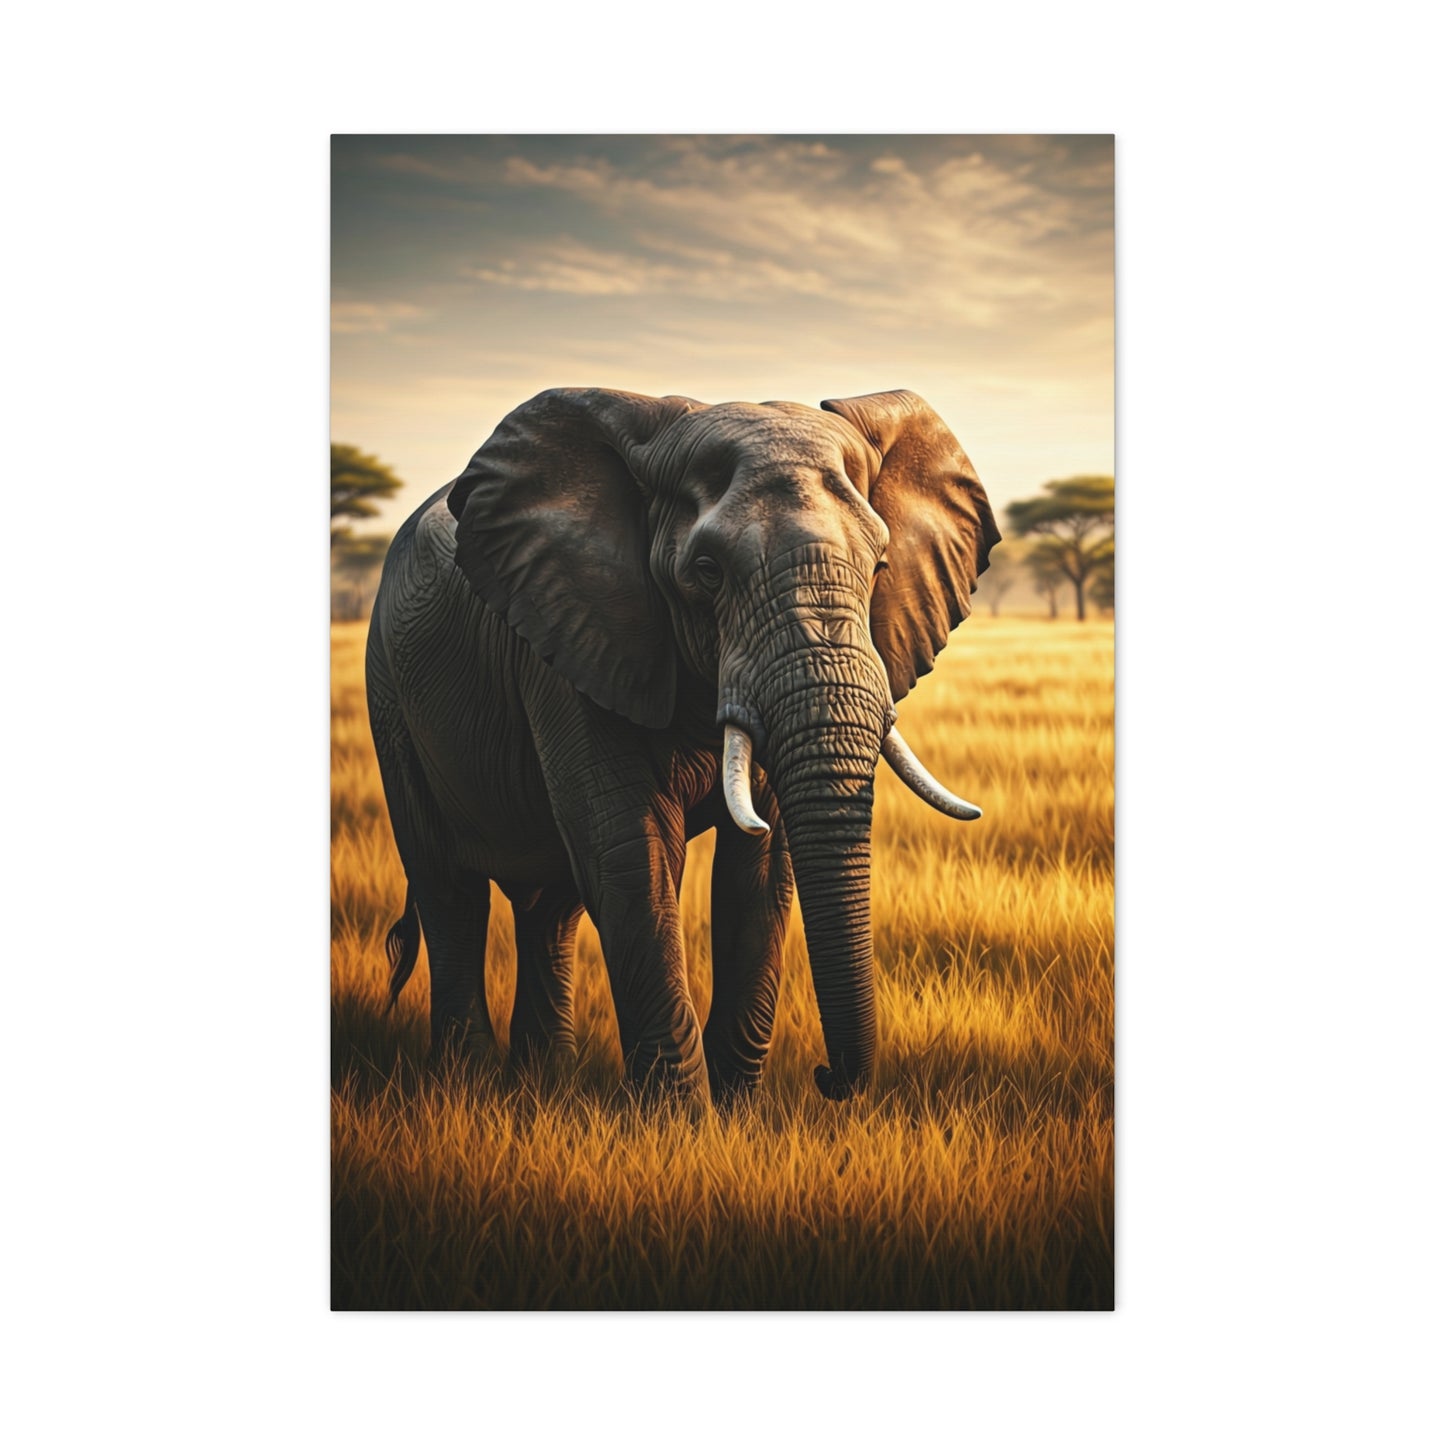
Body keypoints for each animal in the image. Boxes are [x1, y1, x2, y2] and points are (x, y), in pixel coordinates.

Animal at [366, 386, 1000, 1102]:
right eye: (706, 571)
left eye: (881, 565)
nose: (826, 1077)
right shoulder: (575, 636)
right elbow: (628, 848)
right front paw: (679, 1118)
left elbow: (761, 864)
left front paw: (736, 1115)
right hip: (390, 693)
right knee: (450, 888)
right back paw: (467, 1087)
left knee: (550, 907)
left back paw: (543, 1083)